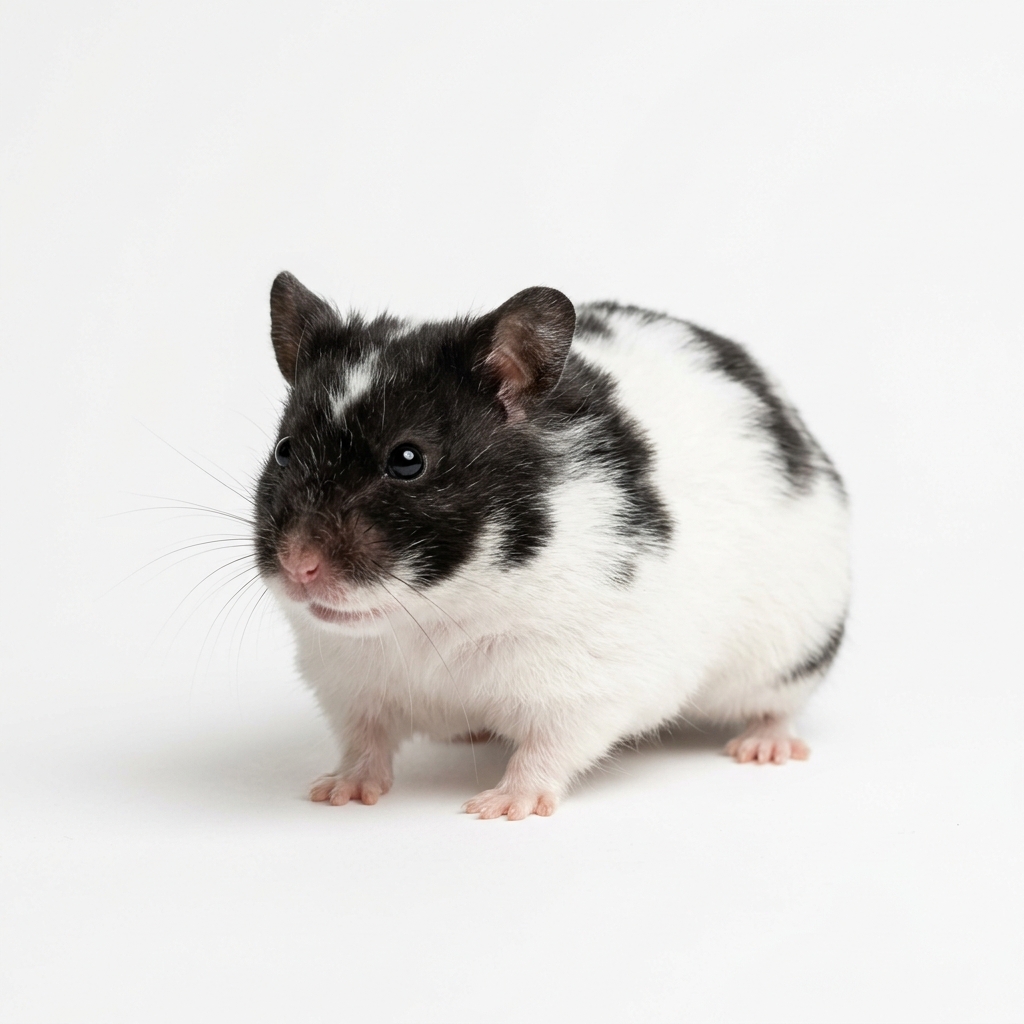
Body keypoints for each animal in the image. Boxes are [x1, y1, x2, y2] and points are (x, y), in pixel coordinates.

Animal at [253, 272, 850, 819]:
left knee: (777, 706)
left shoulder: (584, 679)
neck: (433, 614)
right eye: (283, 450)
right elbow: (364, 740)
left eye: (407, 459)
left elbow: (548, 749)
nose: (298, 566)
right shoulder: (345, 679)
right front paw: (336, 794)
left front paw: (499, 807)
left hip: (789, 650)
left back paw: (762, 748)